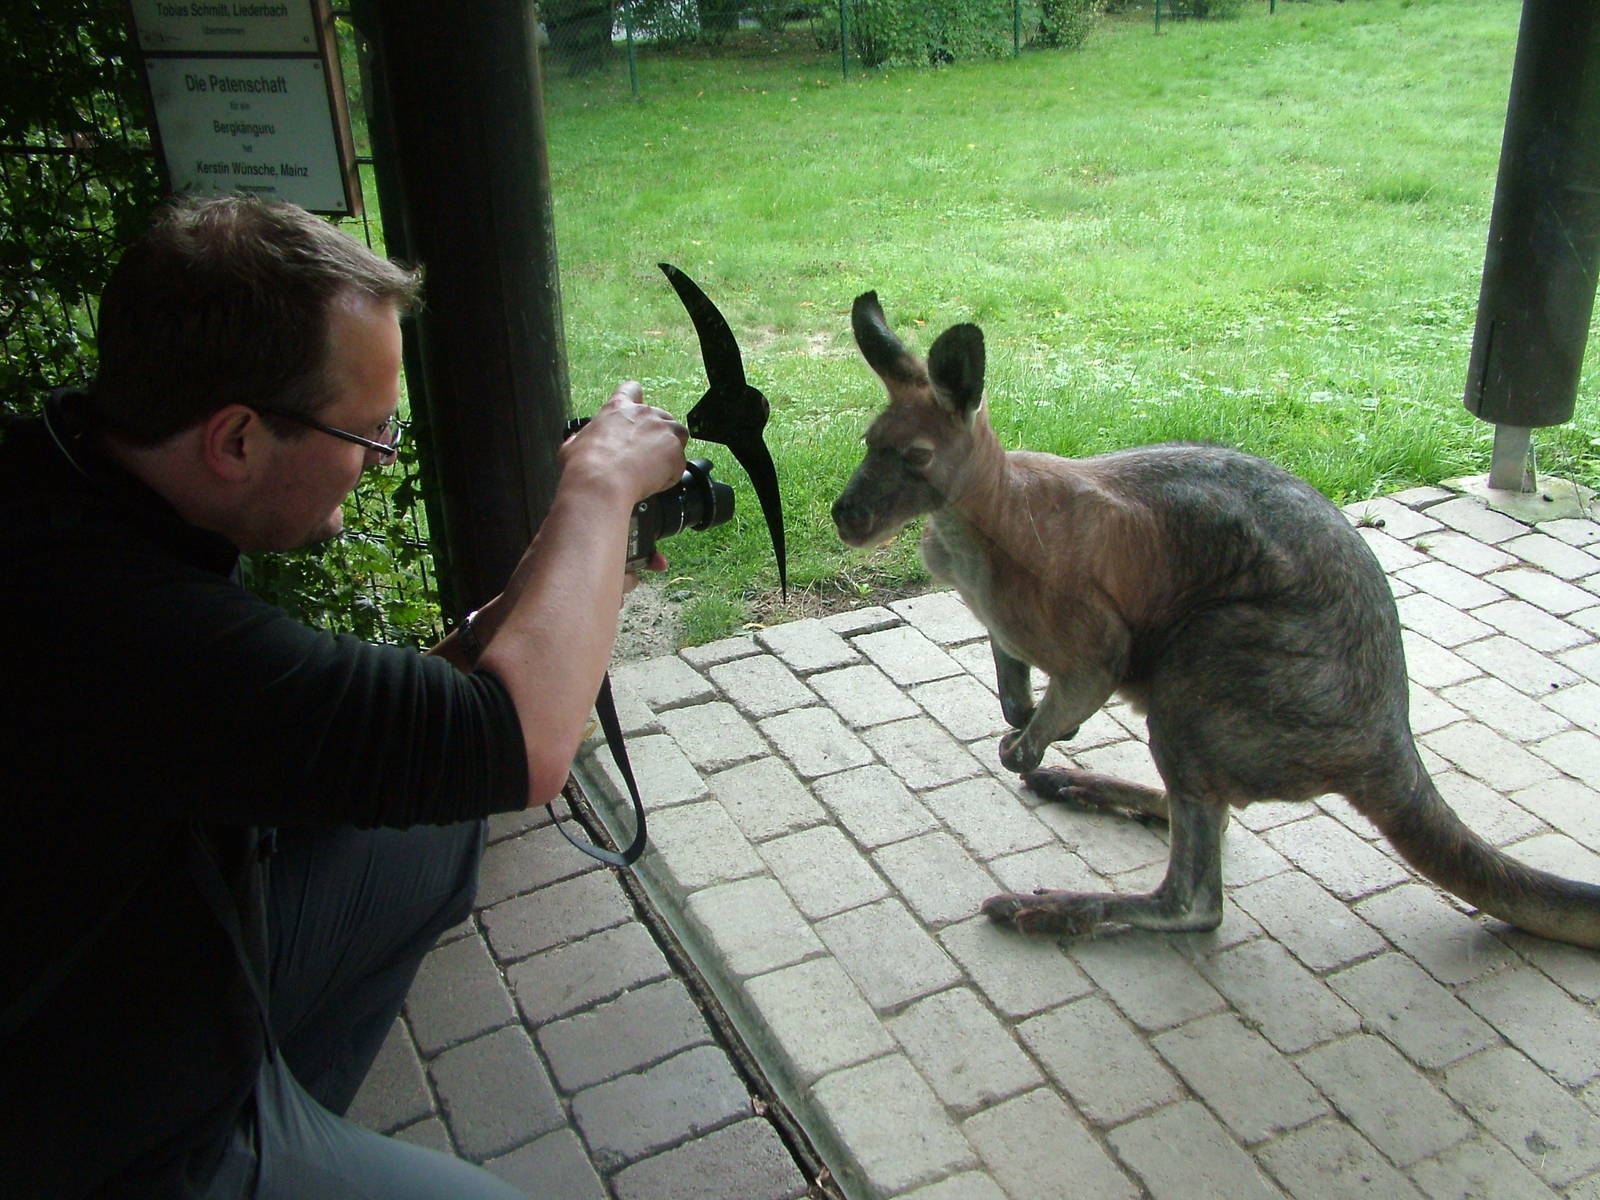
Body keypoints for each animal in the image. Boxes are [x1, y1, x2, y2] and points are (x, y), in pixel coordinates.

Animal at [830, 290, 1600, 949]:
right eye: (869, 442)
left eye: (916, 457)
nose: (845, 518)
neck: (976, 523)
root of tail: (1388, 743)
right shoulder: (1000, 624)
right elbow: (1013, 680)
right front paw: (1024, 726)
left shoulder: (1095, 634)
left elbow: (1086, 674)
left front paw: (1027, 745)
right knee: (1212, 820)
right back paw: (1085, 786)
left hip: (1214, 667)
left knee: (1196, 899)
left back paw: (1052, 903)